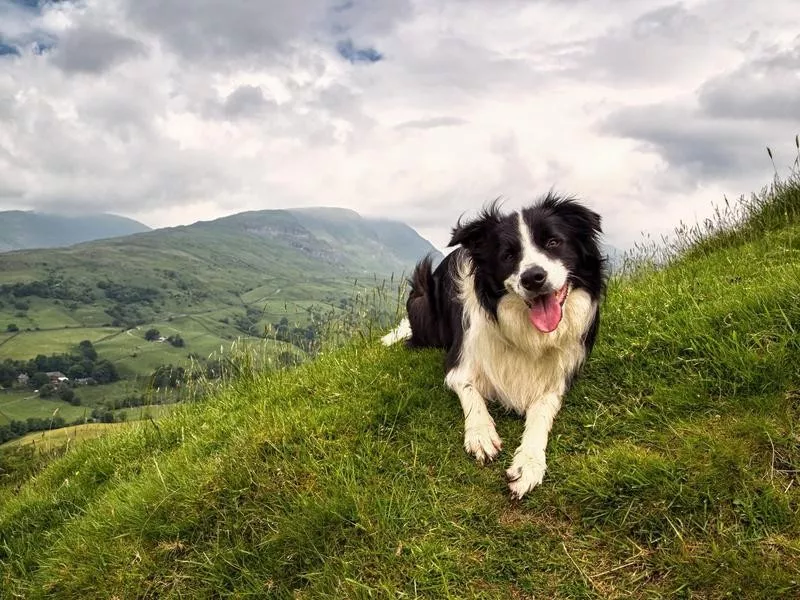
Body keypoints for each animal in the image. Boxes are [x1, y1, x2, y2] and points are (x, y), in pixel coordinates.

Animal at [384, 192, 604, 496]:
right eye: (508, 255)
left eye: (553, 242)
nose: (533, 278)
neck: (526, 332)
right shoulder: (459, 364)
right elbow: (471, 394)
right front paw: (481, 434)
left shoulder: (559, 378)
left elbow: (541, 413)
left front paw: (529, 462)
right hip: (421, 297)